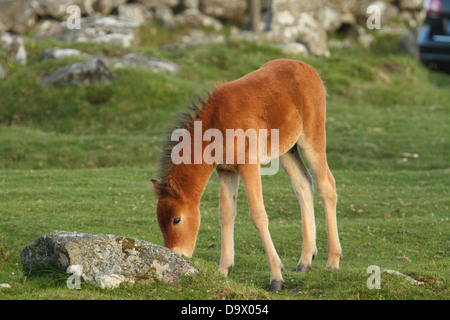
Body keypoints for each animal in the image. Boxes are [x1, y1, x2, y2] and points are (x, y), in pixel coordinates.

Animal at [151, 58, 342, 292]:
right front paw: (223, 271)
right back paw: (305, 261)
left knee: (326, 186)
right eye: (160, 221)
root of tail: (308, 68)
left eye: (176, 219)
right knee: (304, 184)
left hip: (311, 138)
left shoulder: (248, 165)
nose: (176, 255)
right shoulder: (225, 170)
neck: (216, 122)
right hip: (288, 149)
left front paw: (276, 277)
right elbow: (226, 213)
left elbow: (258, 215)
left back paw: (333, 261)